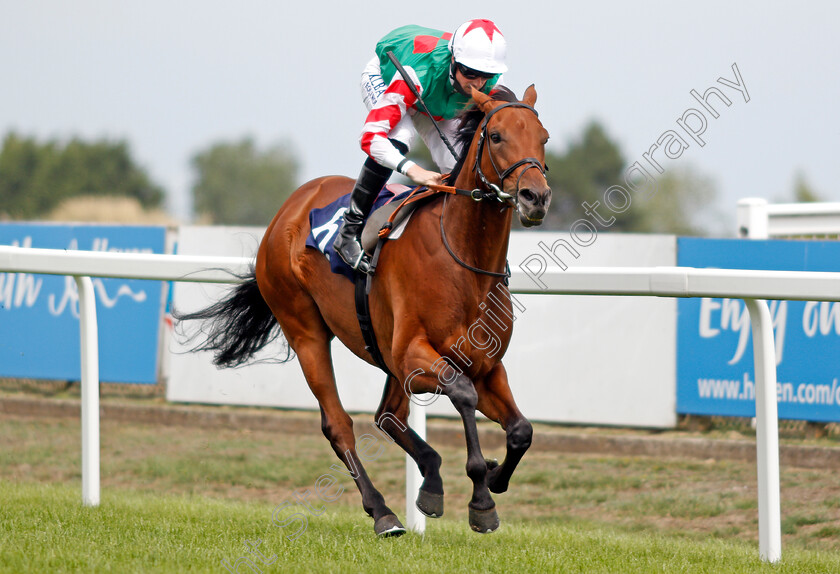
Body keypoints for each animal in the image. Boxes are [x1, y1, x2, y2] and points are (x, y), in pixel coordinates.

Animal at [181, 85, 552, 540]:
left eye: (544, 137)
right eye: (496, 136)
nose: (536, 197)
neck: (464, 262)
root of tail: (292, 205)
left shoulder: (485, 364)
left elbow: (521, 430)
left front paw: (495, 478)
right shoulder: (414, 354)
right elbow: (462, 393)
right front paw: (482, 498)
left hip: (384, 354)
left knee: (388, 416)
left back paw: (430, 481)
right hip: (305, 331)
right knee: (339, 425)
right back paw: (383, 512)